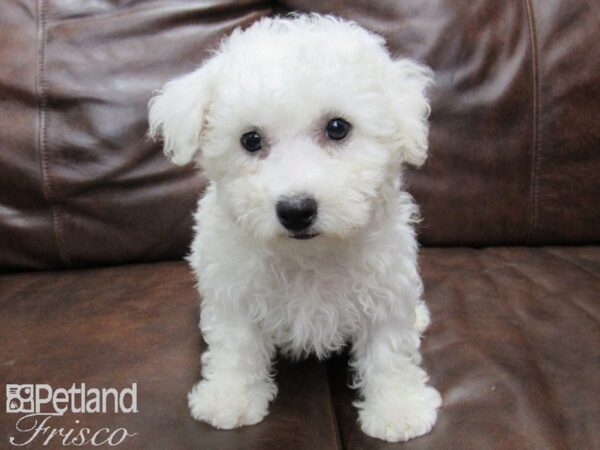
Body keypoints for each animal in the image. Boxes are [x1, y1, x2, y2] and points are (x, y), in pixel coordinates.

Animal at [149, 14, 440, 442]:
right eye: (250, 139)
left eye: (338, 127)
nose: (296, 210)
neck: (307, 254)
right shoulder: (233, 290)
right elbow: (235, 346)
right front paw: (230, 398)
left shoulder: (385, 286)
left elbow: (389, 351)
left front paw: (398, 409)